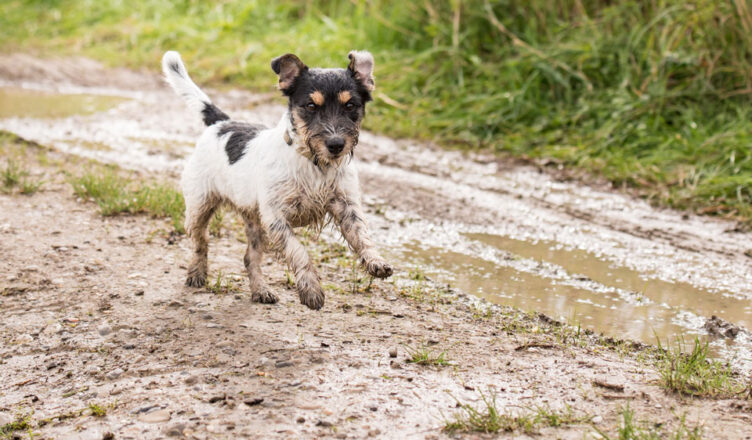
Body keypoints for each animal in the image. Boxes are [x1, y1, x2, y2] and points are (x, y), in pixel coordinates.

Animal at [160, 49, 394, 310]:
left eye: (351, 105)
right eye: (310, 105)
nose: (336, 145)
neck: (314, 163)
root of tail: (221, 123)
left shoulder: (346, 206)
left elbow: (361, 236)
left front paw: (375, 261)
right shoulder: (276, 218)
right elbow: (298, 251)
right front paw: (311, 289)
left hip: (254, 221)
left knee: (249, 258)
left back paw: (261, 290)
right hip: (199, 206)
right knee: (201, 242)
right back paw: (197, 273)